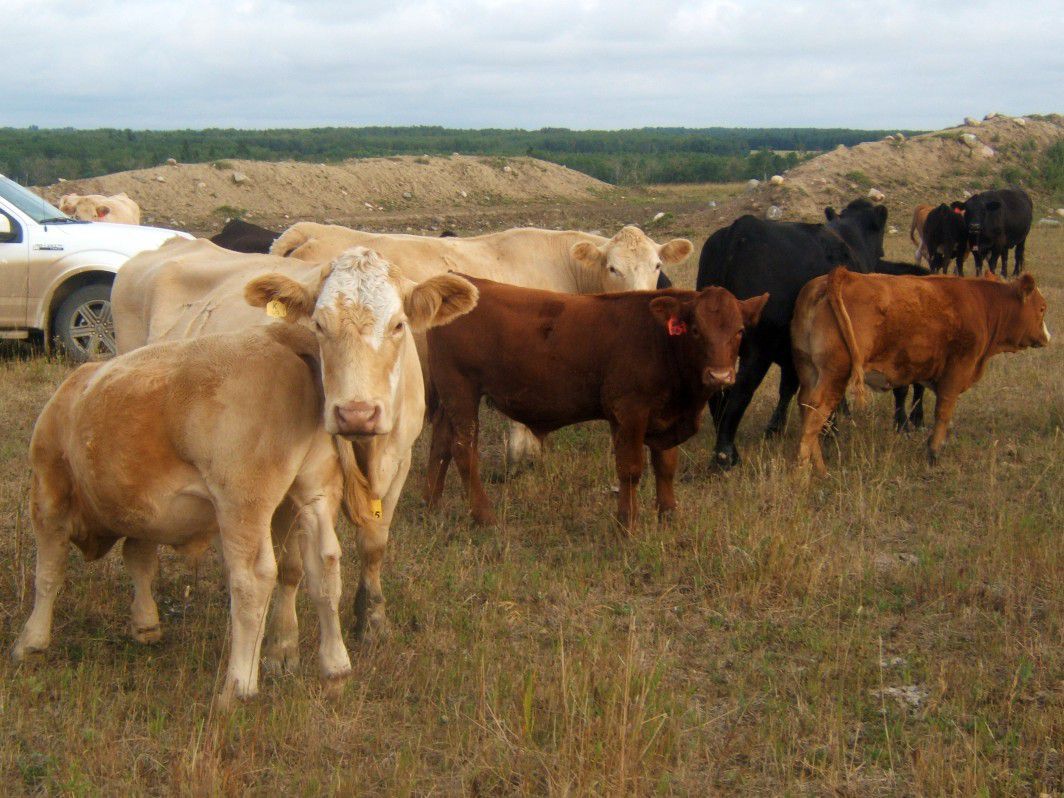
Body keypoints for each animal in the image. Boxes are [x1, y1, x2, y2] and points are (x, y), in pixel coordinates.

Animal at [111, 238, 478, 644]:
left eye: (399, 324)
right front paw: (283, 639)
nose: (357, 413)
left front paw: (373, 619)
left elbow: (373, 546)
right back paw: (146, 620)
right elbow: (292, 565)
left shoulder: (399, 461)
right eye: (318, 324)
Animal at [425, 277, 768, 528]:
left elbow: (666, 466)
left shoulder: (665, 417)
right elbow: (630, 469)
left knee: (440, 444)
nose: (720, 375)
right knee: (463, 450)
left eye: (739, 331)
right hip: (461, 391)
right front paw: (626, 524)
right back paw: (484, 516)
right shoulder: (629, 413)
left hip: (448, 398)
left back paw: (431, 505)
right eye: (695, 330)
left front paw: (668, 515)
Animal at [695, 199, 928, 468]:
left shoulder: (793, 353)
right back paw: (726, 456)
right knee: (739, 393)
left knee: (717, 392)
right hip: (757, 350)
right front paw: (830, 431)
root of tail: (739, 230)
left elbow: (789, 388)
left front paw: (775, 429)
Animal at [792, 268, 1050, 473]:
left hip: (809, 370)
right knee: (816, 415)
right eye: (1042, 309)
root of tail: (840, 276)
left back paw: (820, 469)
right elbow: (943, 414)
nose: (1047, 337)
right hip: (834, 376)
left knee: (806, 409)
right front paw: (933, 452)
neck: (982, 305)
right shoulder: (955, 373)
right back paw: (802, 475)